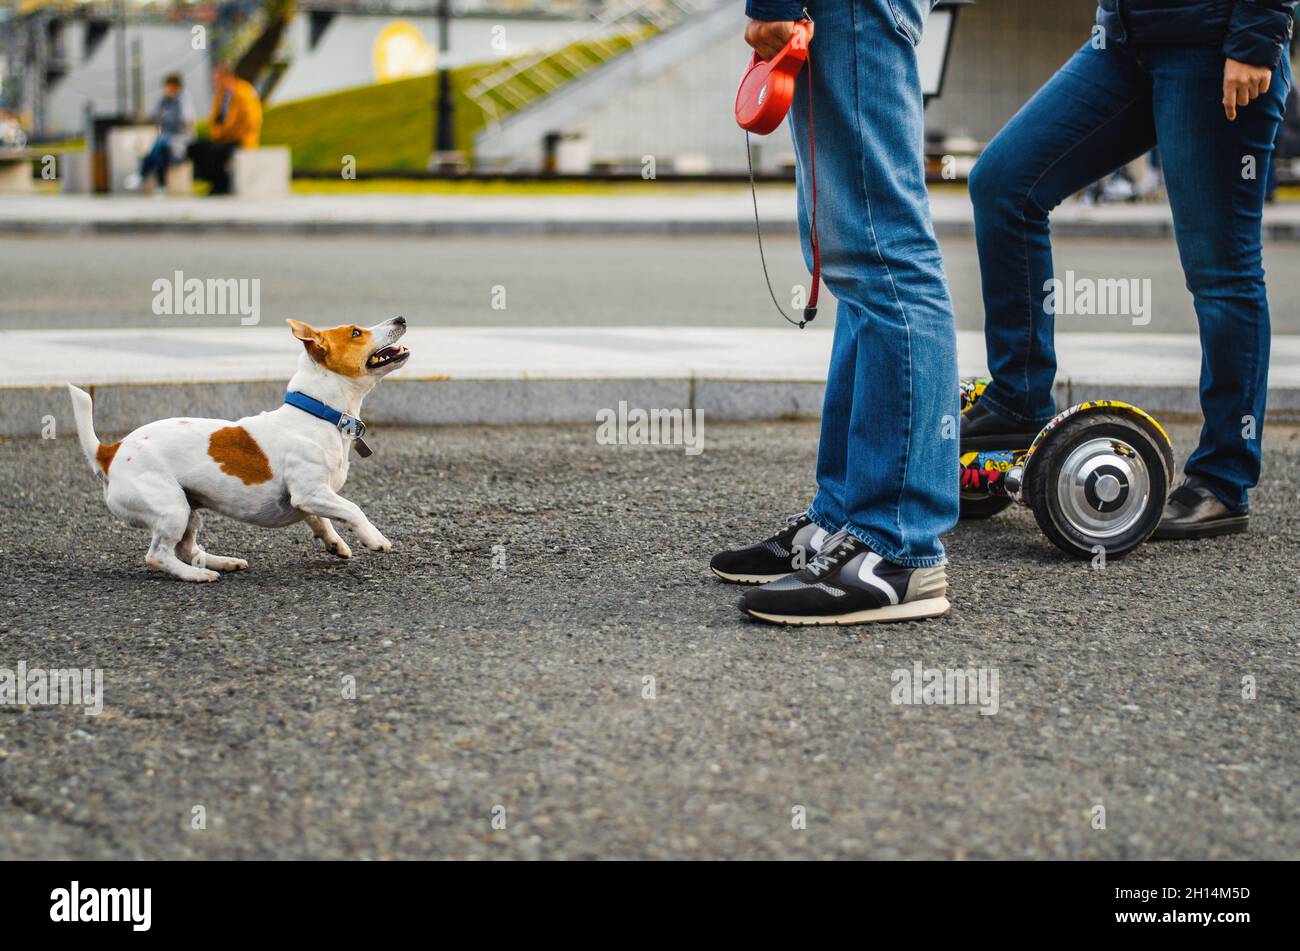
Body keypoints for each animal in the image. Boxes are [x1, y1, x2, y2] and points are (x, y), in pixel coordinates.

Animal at [67, 315, 410, 579]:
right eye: (356, 332)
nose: (401, 318)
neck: (319, 414)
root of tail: (109, 451)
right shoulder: (310, 492)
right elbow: (352, 509)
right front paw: (375, 538)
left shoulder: (312, 498)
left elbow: (321, 520)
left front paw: (335, 544)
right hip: (170, 507)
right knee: (159, 555)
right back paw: (199, 575)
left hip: (189, 508)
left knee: (187, 548)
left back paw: (224, 562)